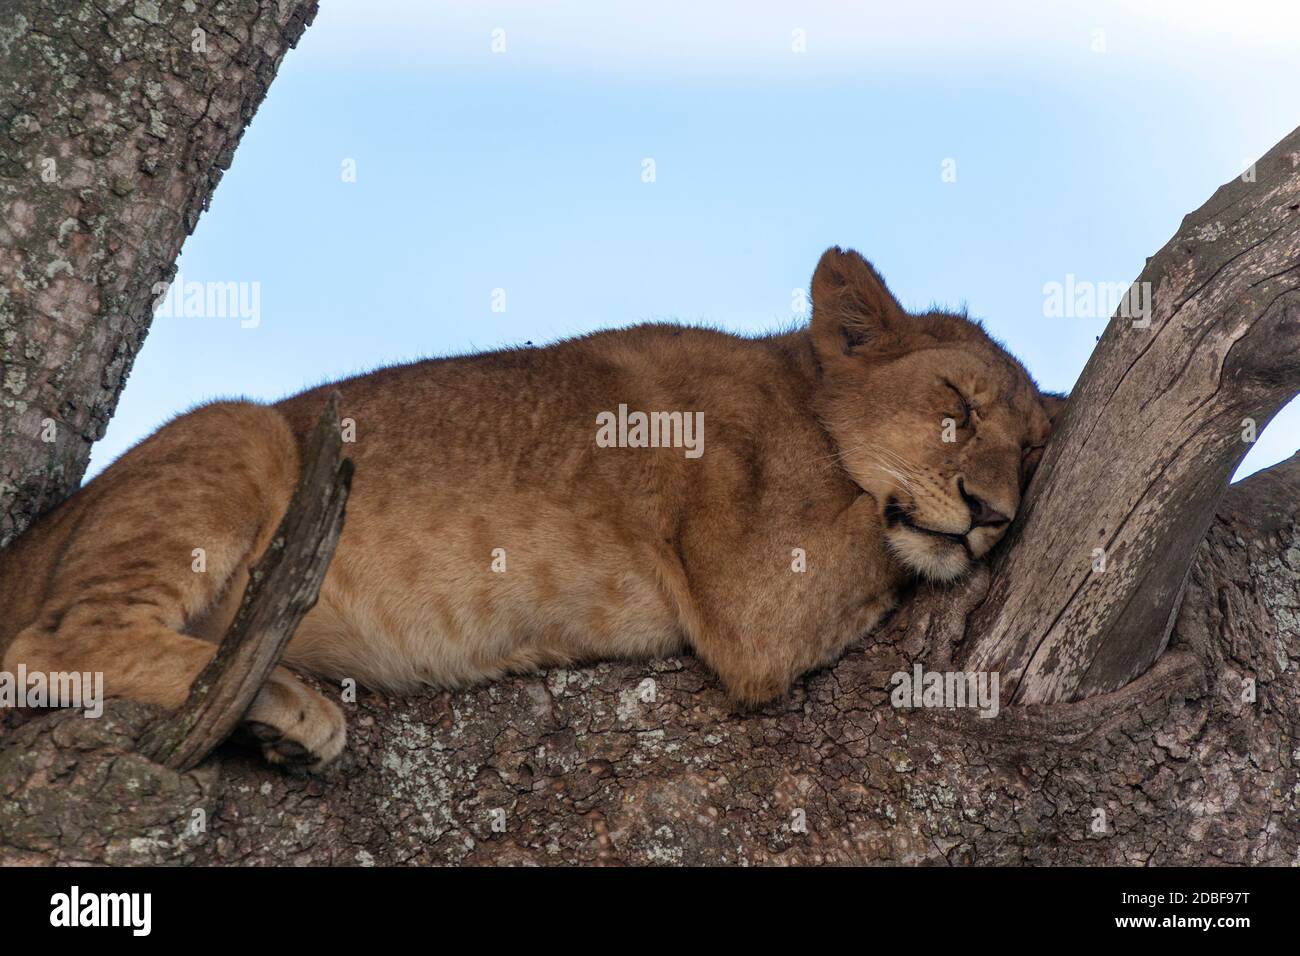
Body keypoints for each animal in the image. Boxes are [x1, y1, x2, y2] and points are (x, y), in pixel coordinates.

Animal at [0, 248, 1055, 770]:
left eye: (1034, 449)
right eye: (957, 407)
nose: (994, 514)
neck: (800, 393)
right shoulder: (758, 604)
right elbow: (880, 537)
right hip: (245, 430)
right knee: (48, 644)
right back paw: (285, 701)